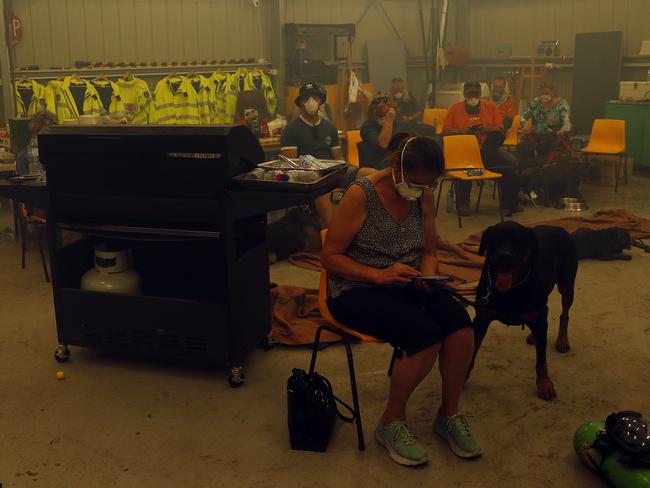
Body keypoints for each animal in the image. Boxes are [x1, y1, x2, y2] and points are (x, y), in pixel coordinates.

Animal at [466, 221, 576, 400]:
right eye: (495, 239)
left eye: (519, 242)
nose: (504, 256)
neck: (511, 290)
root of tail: (561, 229)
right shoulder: (481, 319)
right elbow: (472, 349)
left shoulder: (539, 316)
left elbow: (541, 360)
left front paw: (544, 384)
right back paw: (534, 336)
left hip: (567, 284)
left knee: (564, 313)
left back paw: (562, 340)